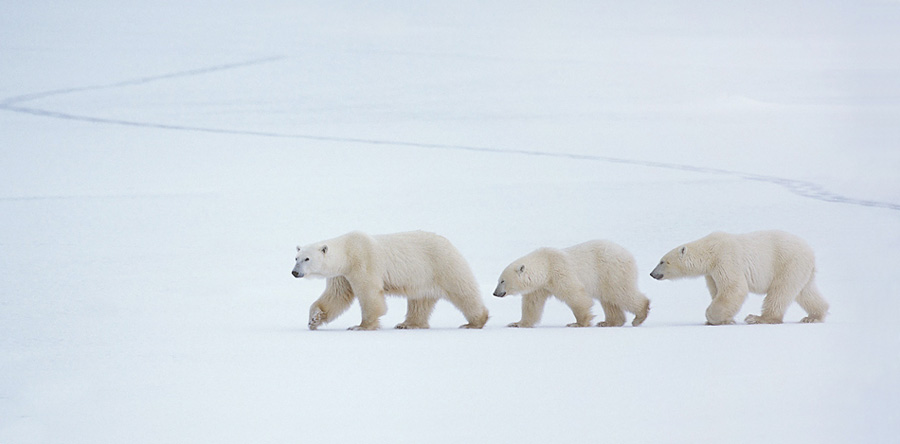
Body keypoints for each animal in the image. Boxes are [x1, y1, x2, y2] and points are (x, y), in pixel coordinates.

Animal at [292, 232, 488, 330]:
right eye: (296, 258)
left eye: (307, 259)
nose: (294, 272)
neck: (348, 251)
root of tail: (449, 243)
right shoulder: (341, 275)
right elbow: (336, 297)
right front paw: (314, 319)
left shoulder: (363, 261)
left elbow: (369, 293)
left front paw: (361, 326)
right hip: (423, 279)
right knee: (420, 301)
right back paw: (408, 324)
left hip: (442, 264)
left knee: (463, 291)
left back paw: (475, 322)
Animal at [496, 241, 652, 328]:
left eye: (502, 280)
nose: (495, 293)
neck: (546, 265)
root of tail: (628, 254)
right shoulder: (540, 286)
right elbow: (532, 305)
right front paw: (516, 323)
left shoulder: (559, 271)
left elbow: (576, 296)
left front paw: (577, 323)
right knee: (609, 299)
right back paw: (608, 322)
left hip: (611, 270)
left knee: (621, 292)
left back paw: (639, 316)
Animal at [648, 231, 828, 324]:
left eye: (662, 261)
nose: (652, 273)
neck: (710, 250)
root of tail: (811, 252)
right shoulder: (711, 272)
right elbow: (717, 291)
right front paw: (725, 319)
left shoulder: (725, 258)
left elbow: (734, 288)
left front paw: (713, 318)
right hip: (801, 269)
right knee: (805, 292)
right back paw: (814, 316)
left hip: (788, 263)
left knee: (780, 292)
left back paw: (759, 318)